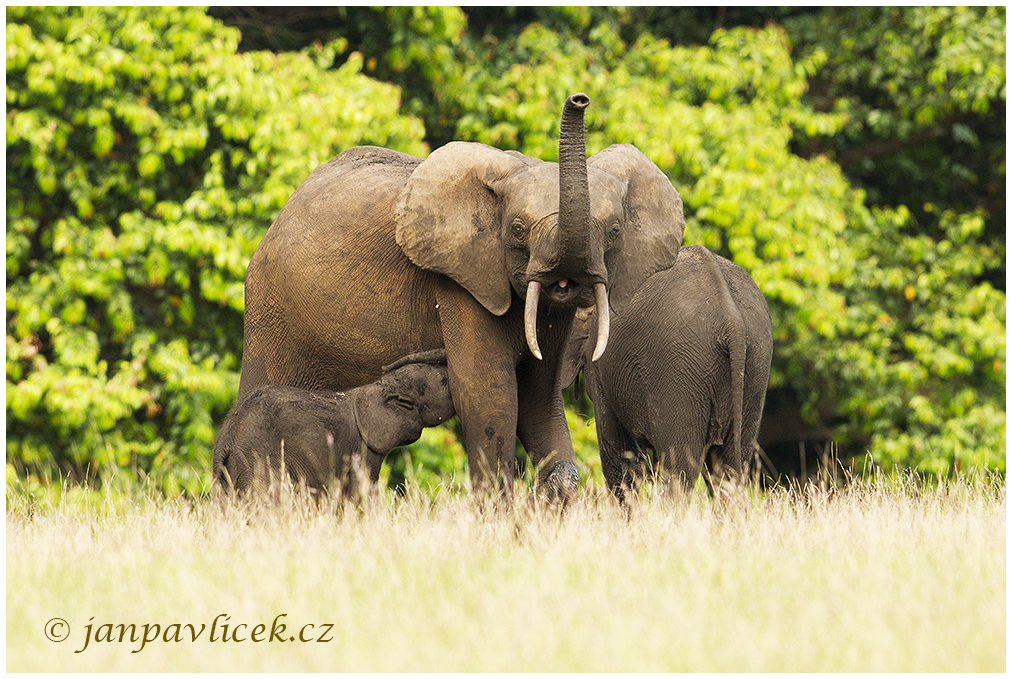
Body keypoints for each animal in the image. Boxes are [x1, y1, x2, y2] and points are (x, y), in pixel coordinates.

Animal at [211, 350, 453, 499]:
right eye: (444, 382)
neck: (378, 387)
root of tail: (226, 440)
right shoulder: (363, 448)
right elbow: (361, 492)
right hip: (258, 458)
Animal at [566, 244, 769, 499]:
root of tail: (732, 322)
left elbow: (617, 451)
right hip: (755, 365)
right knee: (729, 469)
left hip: (680, 371)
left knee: (680, 471)